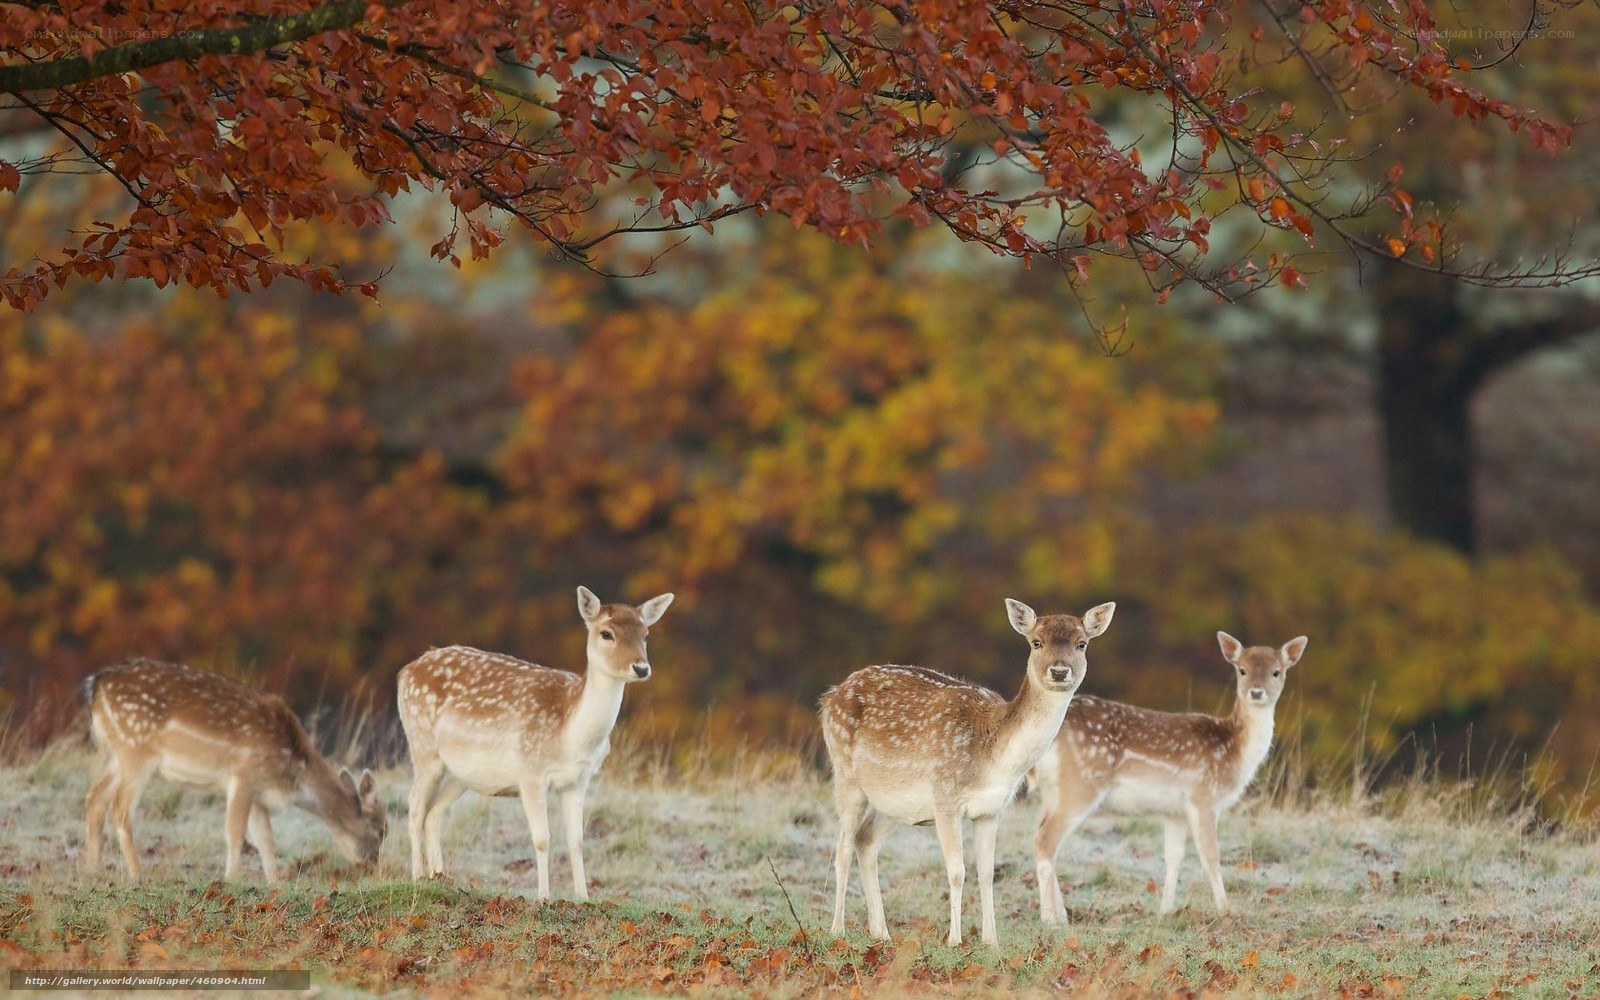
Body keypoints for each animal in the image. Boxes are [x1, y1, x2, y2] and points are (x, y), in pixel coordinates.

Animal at [83, 659, 387, 883]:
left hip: (115, 756)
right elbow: (235, 831)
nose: (372, 865)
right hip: (135, 750)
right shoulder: (244, 774)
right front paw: (232, 879)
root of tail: (97, 684)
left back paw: (94, 870)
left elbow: (266, 838)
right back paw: (137, 874)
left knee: (94, 796)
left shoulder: (259, 791)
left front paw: (275, 882)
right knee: (120, 806)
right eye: (381, 830)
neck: (293, 767)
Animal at [396, 585, 673, 897]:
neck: (570, 736)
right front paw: (543, 897)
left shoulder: (579, 780)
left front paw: (583, 898)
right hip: (422, 747)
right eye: (606, 633)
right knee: (415, 808)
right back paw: (418, 878)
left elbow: (577, 840)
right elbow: (542, 838)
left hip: (460, 774)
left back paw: (440, 879)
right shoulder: (530, 772)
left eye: (645, 634)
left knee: (433, 813)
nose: (641, 668)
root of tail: (405, 672)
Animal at [820, 598, 1115, 946]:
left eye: (1082, 644)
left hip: (892, 802)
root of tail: (830, 696)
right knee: (843, 845)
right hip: (845, 773)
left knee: (865, 840)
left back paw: (882, 932)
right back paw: (837, 929)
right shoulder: (945, 797)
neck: (994, 760)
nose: (1059, 670)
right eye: (1035, 642)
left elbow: (986, 873)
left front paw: (991, 941)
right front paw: (955, 940)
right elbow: (957, 871)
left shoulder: (991, 810)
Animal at [1031, 631, 1308, 922]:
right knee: (1045, 840)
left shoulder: (1175, 811)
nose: (1256, 692)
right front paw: (1225, 912)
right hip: (1081, 784)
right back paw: (1051, 920)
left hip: (1052, 793)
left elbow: (1174, 857)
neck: (1233, 751)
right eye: (1242, 670)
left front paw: (1165, 911)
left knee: (1042, 837)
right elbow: (1210, 854)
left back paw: (1061, 914)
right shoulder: (1203, 797)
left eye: (1276, 672)